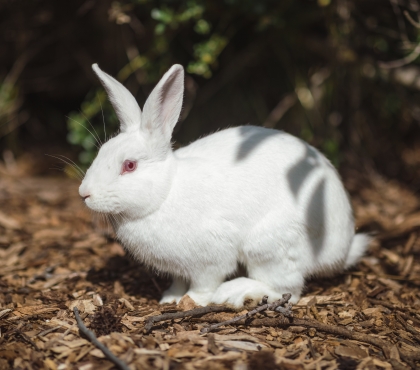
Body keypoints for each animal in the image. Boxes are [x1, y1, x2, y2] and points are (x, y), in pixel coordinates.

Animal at [79, 62, 370, 306]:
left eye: (129, 165)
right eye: (102, 151)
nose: (84, 194)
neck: (165, 194)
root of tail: (342, 249)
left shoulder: (210, 260)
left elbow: (204, 284)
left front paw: (192, 301)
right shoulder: (178, 270)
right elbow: (178, 282)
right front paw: (169, 298)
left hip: (270, 248)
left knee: (287, 290)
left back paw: (235, 292)